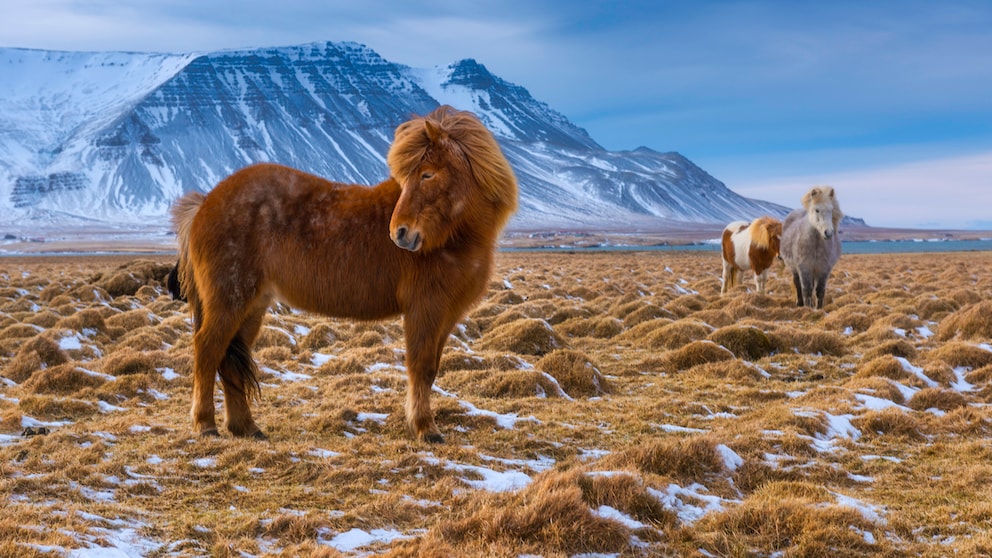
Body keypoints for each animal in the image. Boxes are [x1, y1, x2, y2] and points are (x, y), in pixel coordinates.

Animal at [172, 107, 520, 444]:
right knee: (207, 349)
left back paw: (246, 427)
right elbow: (420, 367)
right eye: (409, 176)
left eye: (427, 174)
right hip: (229, 300)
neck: (454, 237)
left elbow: (432, 369)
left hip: (253, 305)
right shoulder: (425, 309)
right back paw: (206, 425)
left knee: (231, 359)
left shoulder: (446, 315)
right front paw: (426, 429)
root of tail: (205, 202)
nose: (400, 233)